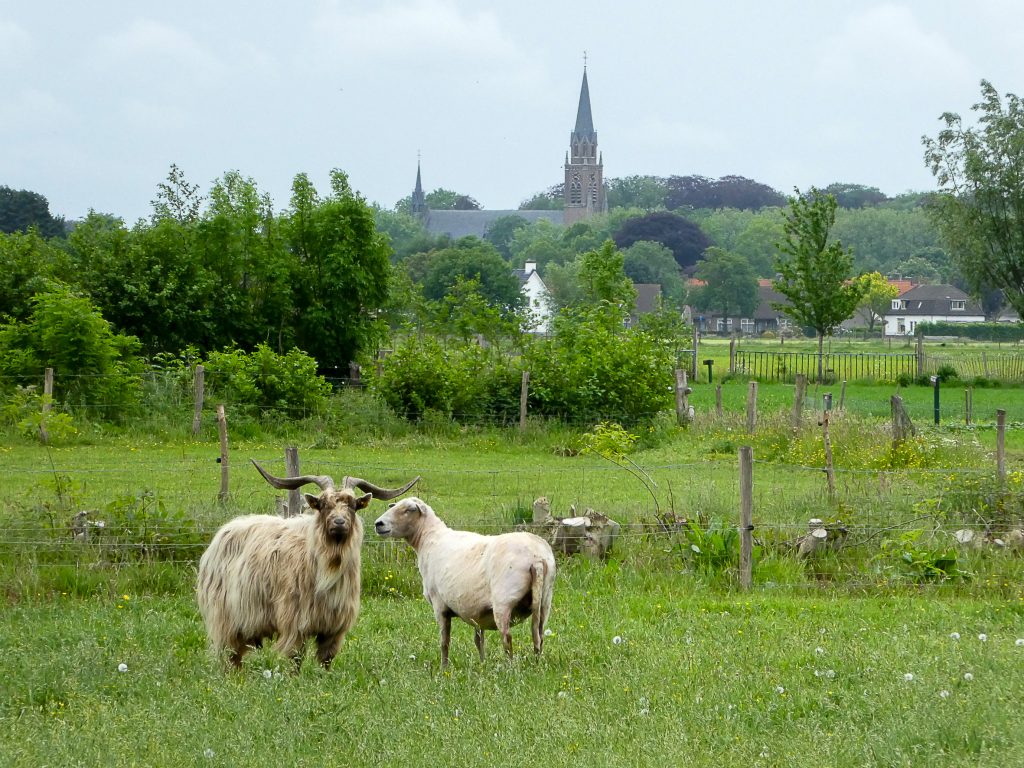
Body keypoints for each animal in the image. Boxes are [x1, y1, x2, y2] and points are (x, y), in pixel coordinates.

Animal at [195, 460, 419, 671]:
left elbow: (326, 660)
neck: (328, 568)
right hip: (225, 619)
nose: (339, 523)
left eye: (352, 505)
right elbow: (295, 659)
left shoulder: (334, 629)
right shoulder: (295, 623)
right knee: (229, 656)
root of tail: (221, 535)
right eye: (323, 504)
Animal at [372, 499, 557, 667]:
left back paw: (509, 669)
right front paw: (482, 664)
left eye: (409, 509)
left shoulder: (439, 605)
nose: (378, 524)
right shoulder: (476, 610)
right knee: (538, 635)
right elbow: (478, 640)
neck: (428, 539)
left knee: (507, 638)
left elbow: (444, 641)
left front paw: (444, 669)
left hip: (503, 601)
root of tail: (537, 558)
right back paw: (536, 664)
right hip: (544, 600)